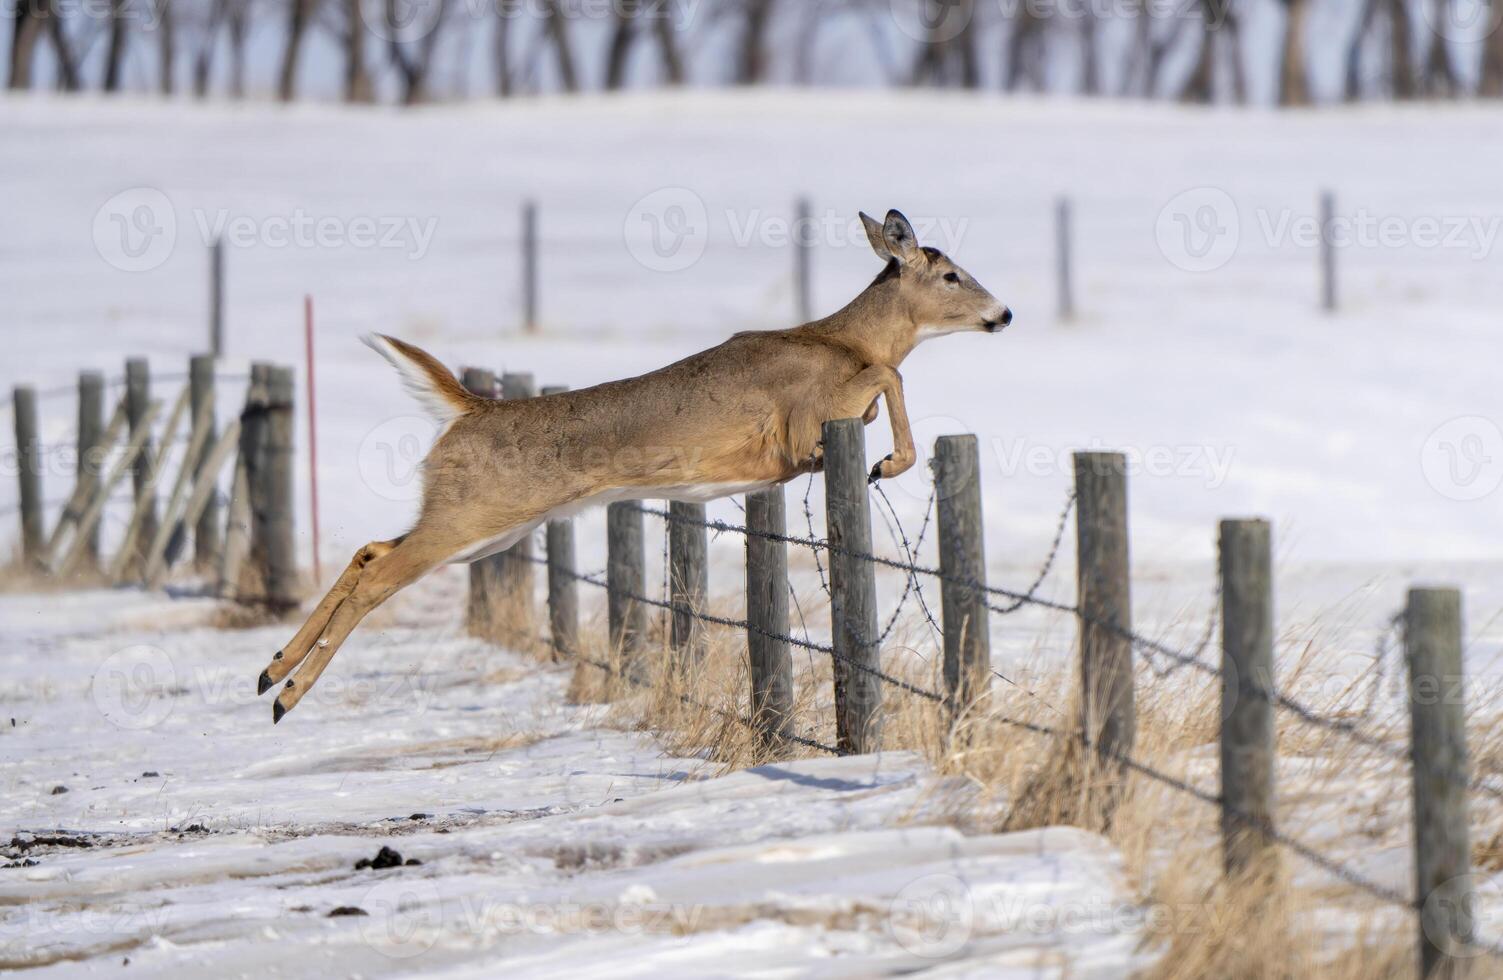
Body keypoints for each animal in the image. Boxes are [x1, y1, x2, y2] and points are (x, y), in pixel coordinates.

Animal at [261, 210, 1010, 724]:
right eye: (951, 274)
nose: (1003, 312)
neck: (841, 339)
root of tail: (470, 410)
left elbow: (886, 384)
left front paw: (883, 456)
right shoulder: (802, 423)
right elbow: (890, 376)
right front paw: (887, 462)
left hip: (481, 525)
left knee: (368, 550)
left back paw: (270, 671)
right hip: (474, 514)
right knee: (378, 573)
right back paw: (286, 694)